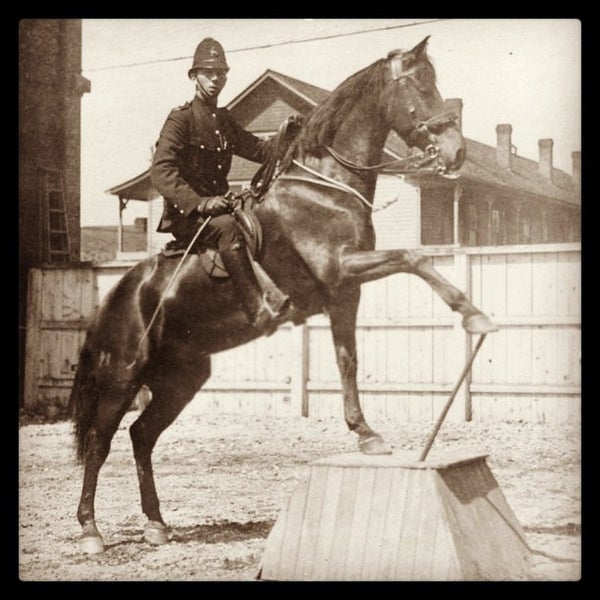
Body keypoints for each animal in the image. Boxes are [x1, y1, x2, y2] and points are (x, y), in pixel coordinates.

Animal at [67, 36, 496, 552]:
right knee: (99, 442)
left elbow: (347, 360)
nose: (455, 152)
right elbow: (414, 257)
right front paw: (472, 314)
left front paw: (365, 434)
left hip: (180, 380)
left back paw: (156, 524)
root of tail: (114, 298)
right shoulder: (340, 268)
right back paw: (91, 529)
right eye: (420, 87)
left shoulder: (343, 292)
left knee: (141, 436)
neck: (324, 188)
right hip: (123, 376)